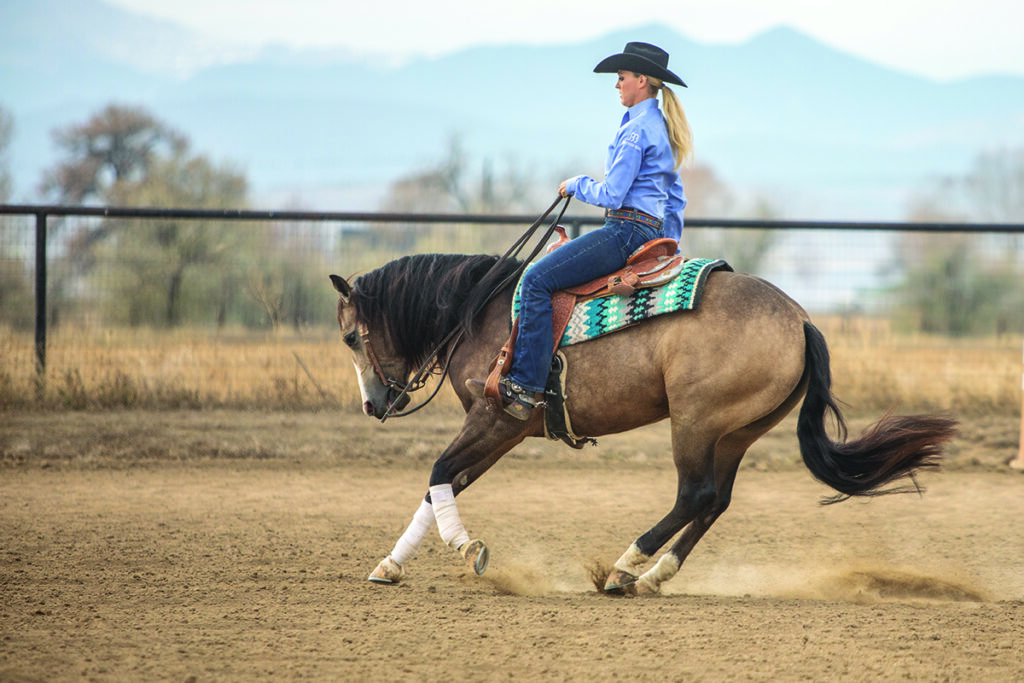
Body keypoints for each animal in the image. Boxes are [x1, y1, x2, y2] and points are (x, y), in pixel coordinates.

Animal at [329, 248, 958, 593]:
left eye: (350, 336)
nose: (374, 405)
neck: (479, 312)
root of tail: (801, 319)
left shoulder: (498, 418)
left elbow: (439, 472)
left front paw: (467, 549)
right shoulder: (501, 431)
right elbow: (443, 484)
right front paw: (389, 565)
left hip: (695, 422)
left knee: (694, 495)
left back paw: (623, 568)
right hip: (737, 432)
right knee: (715, 500)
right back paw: (653, 576)